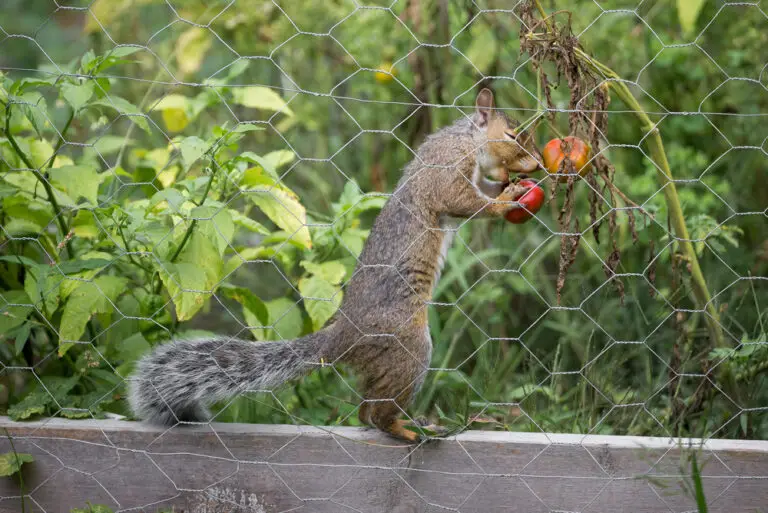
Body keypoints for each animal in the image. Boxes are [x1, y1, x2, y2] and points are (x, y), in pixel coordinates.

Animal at [128, 88, 542, 442]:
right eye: (513, 135)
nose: (537, 164)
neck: (465, 140)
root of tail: (344, 337)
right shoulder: (443, 170)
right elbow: (461, 200)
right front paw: (507, 199)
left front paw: (511, 188)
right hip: (406, 348)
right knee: (377, 414)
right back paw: (409, 432)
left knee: (365, 411)